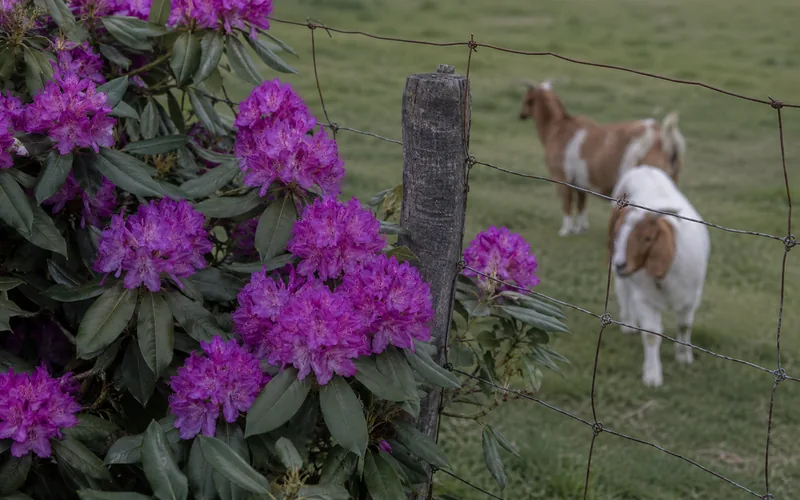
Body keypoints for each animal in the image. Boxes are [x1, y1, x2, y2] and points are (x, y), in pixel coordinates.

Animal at [519, 80, 687, 237]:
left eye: (526, 99)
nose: (521, 115)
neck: (557, 127)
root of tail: (665, 139)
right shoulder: (580, 182)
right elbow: (581, 204)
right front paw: (581, 228)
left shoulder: (561, 177)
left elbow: (566, 204)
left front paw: (566, 230)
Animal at [608, 166, 709, 387]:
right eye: (617, 234)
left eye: (648, 238)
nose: (620, 265)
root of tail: (644, 168)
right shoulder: (645, 299)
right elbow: (651, 336)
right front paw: (652, 376)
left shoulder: (692, 297)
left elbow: (684, 325)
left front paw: (684, 356)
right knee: (623, 291)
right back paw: (629, 323)